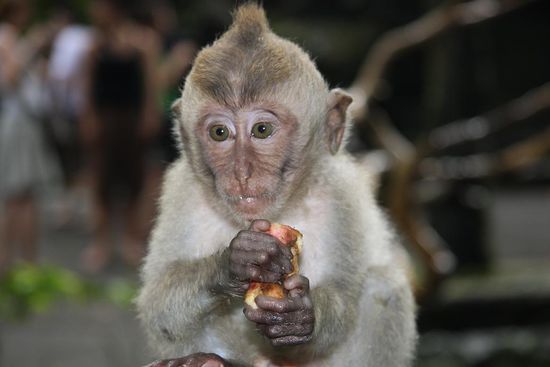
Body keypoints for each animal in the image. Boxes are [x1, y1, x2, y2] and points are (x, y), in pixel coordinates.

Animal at [138, 3, 418, 367]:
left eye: (262, 130)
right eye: (219, 133)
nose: (242, 173)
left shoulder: (343, 195)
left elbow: (344, 300)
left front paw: (300, 318)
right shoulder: (180, 191)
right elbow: (157, 306)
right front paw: (234, 263)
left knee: (383, 286)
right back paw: (203, 359)